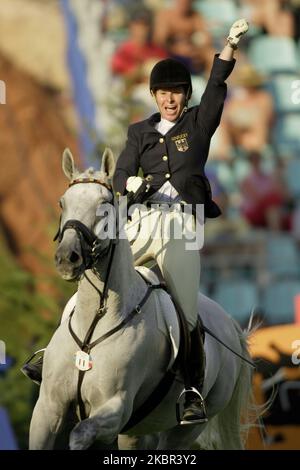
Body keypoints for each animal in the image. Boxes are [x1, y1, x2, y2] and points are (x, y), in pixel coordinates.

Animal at [29, 149, 255, 450]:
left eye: (104, 204)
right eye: (61, 202)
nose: (67, 258)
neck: (95, 321)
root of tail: (229, 324)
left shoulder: (115, 410)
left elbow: (79, 434)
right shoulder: (47, 410)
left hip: (185, 429)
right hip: (134, 433)